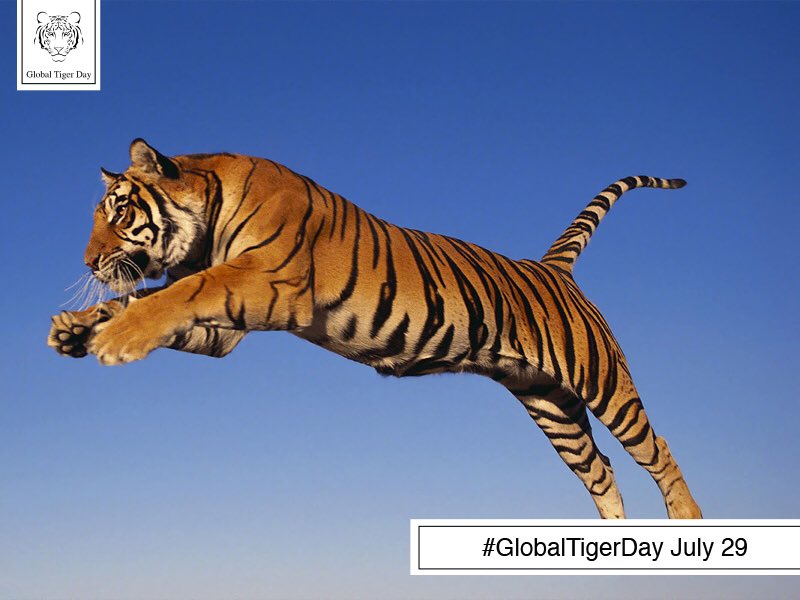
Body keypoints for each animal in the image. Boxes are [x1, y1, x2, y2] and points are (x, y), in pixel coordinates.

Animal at [48, 139, 702, 519]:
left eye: (121, 213)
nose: (87, 262)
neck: (206, 225)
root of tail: (551, 266)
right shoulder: (227, 329)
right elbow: (150, 298)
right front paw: (75, 328)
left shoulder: (265, 282)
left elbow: (177, 293)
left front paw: (114, 338)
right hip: (550, 404)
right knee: (601, 472)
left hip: (601, 379)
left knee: (657, 448)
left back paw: (686, 521)